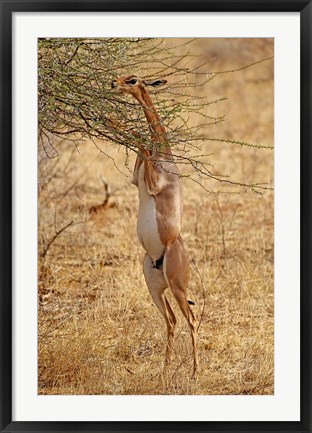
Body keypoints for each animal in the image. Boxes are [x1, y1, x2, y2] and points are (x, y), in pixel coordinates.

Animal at [111, 74, 199, 374]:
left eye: (133, 80)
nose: (114, 84)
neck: (166, 158)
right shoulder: (136, 178)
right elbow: (140, 143)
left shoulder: (151, 183)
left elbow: (140, 138)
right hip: (154, 287)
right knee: (171, 320)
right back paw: (164, 369)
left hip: (177, 287)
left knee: (192, 319)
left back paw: (195, 372)